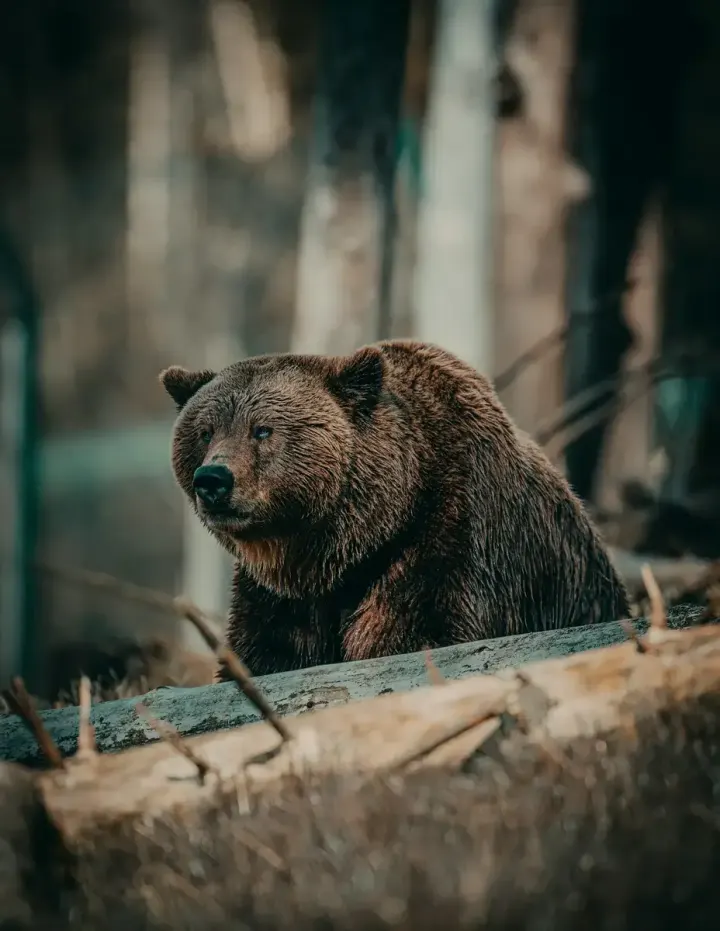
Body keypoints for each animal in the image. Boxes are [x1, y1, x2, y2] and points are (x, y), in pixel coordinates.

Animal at [160, 339, 629, 677]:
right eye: (205, 431)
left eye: (262, 430)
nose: (213, 480)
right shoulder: (279, 596)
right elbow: (264, 651)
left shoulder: (452, 534)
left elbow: (418, 630)